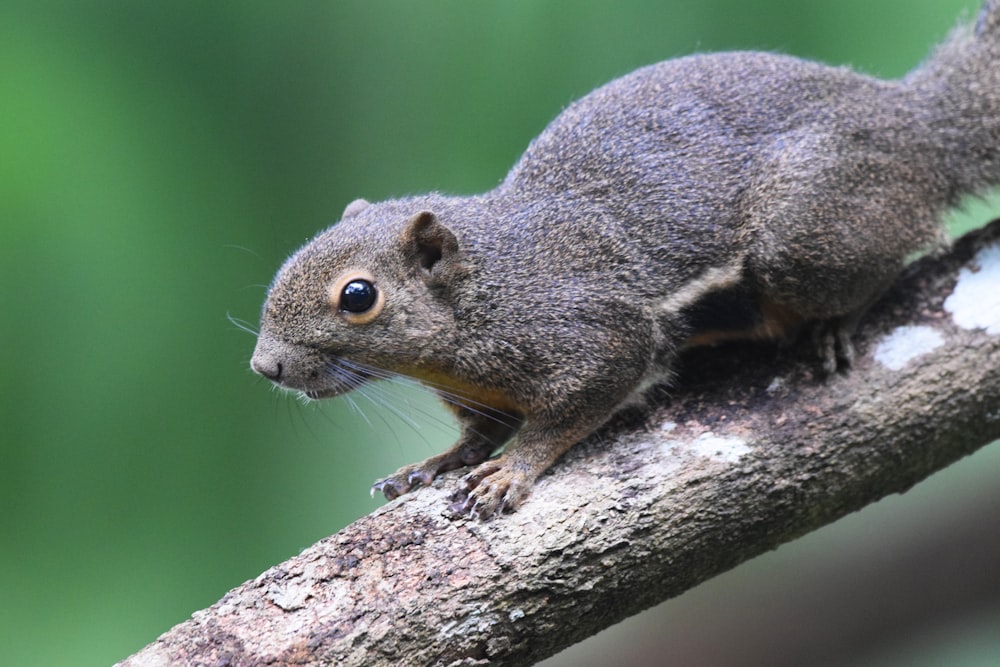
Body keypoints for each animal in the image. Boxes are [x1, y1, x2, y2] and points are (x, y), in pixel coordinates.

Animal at [250, 2, 1000, 520]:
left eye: (358, 296)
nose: (265, 367)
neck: (486, 291)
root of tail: (917, 125)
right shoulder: (480, 391)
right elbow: (477, 432)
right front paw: (436, 462)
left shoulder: (593, 333)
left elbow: (577, 405)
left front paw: (514, 469)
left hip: (806, 239)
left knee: (887, 258)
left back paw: (837, 326)